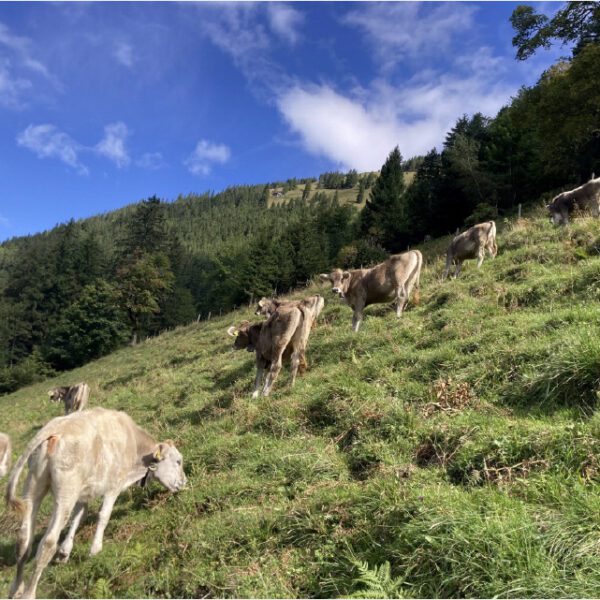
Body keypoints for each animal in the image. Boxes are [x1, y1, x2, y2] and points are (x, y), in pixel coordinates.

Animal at [5, 408, 186, 599]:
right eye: (178, 461)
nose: (184, 482)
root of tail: (55, 428)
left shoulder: (83, 493)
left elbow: (79, 517)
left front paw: (65, 551)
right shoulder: (114, 485)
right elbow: (103, 516)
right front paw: (95, 548)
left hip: (33, 487)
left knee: (23, 540)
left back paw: (16, 589)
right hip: (66, 491)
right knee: (48, 542)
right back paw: (28, 592)